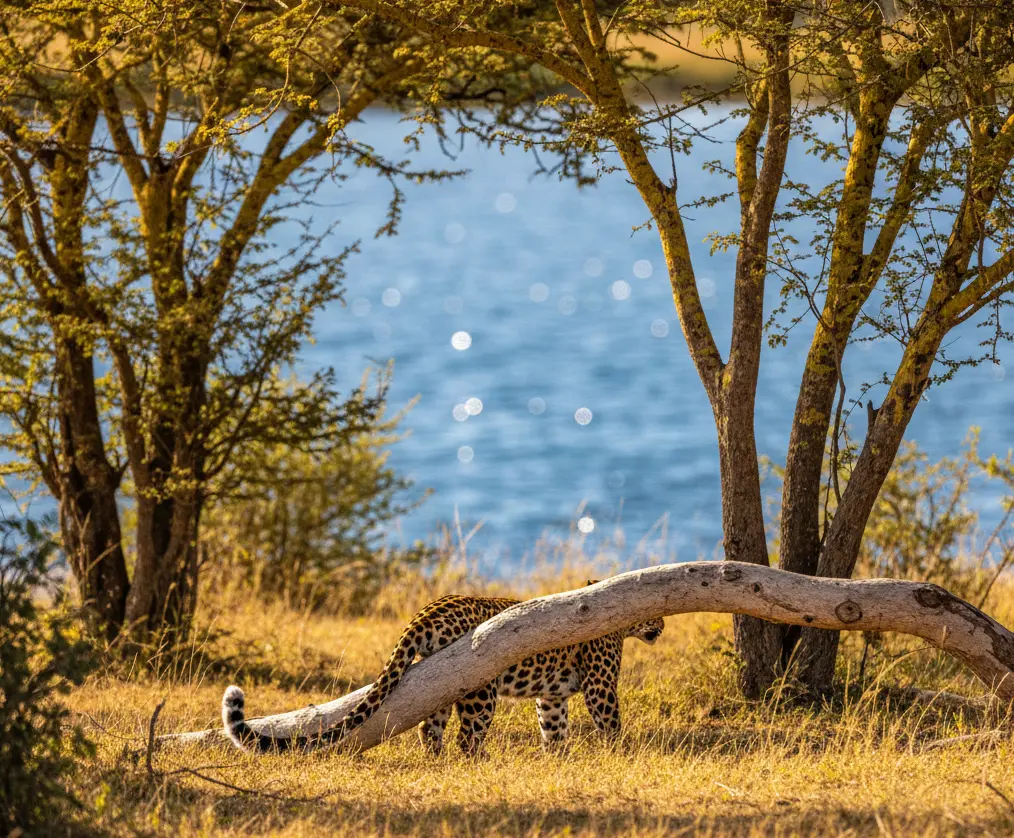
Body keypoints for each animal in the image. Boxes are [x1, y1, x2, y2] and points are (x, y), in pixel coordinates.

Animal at [222, 584, 664, 757]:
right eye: (654, 612)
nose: (661, 627)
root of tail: (429, 609)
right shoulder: (600, 686)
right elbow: (610, 723)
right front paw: (620, 754)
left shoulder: (551, 696)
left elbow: (554, 728)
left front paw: (557, 758)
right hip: (478, 686)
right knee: (467, 737)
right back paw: (482, 763)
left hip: (441, 678)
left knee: (430, 729)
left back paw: (438, 761)